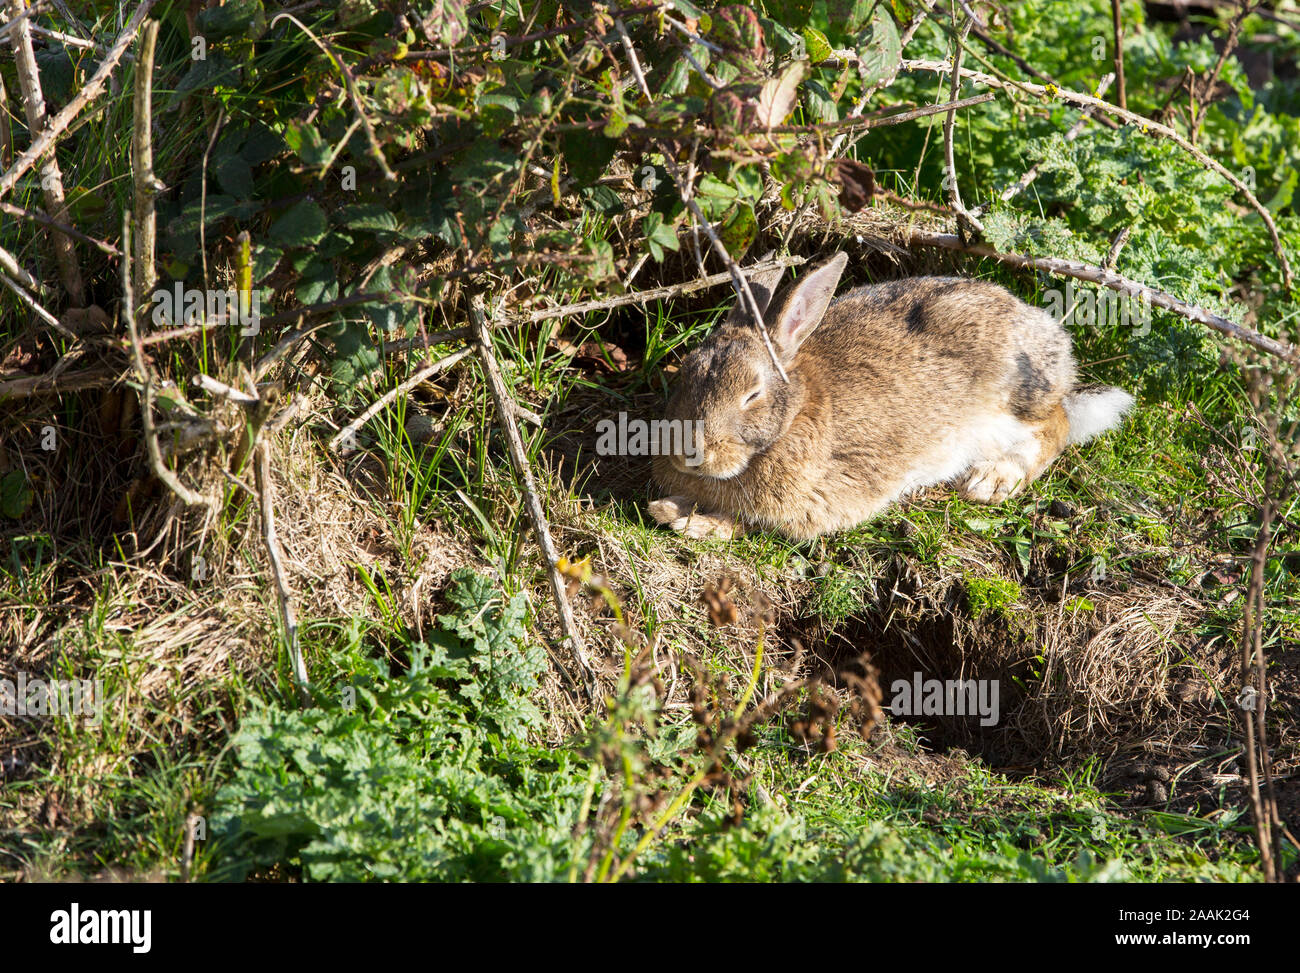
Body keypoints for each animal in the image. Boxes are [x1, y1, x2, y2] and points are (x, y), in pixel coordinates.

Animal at [647, 252, 1133, 541]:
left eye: (752, 395)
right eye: (686, 374)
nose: (689, 452)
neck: (793, 417)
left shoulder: (826, 500)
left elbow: (750, 525)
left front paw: (689, 521)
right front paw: (670, 507)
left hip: (1017, 393)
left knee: (1057, 425)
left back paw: (992, 479)